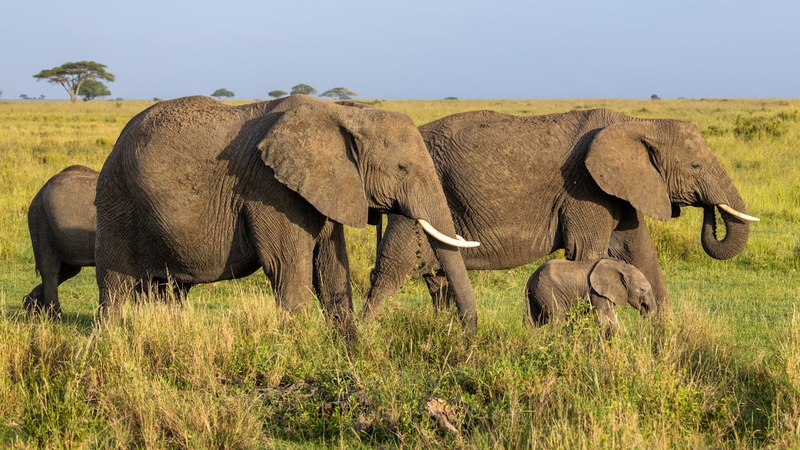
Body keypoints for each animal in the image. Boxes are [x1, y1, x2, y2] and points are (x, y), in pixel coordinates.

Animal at [94, 94, 481, 330]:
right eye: (402, 168)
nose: (465, 335)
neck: (344, 113)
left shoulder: (325, 187)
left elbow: (331, 268)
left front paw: (349, 352)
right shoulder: (271, 190)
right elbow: (288, 267)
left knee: (166, 289)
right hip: (117, 200)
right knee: (114, 285)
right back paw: (110, 342)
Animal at [363, 108, 758, 319]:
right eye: (695, 166)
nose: (709, 213)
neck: (637, 123)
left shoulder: (620, 191)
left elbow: (639, 251)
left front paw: (666, 342)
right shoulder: (584, 190)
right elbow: (588, 256)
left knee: (437, 279)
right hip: (412, 199)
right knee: (391, 269)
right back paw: (366, 340)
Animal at [525, 258, 655, 335]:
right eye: (642, 289)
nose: (645, 315)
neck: (620, 266)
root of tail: (530, 280)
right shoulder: (596, 292)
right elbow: (604, 318)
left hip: (534, 295)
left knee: (531, 322)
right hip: (548, 292)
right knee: (558, 319)